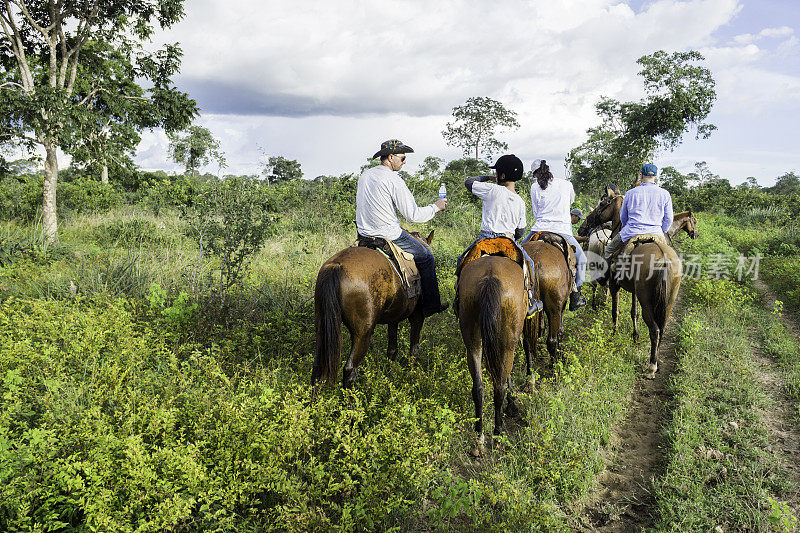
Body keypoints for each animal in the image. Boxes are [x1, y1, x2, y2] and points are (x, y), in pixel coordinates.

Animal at [312, 231, 434, 388]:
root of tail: (336, 266)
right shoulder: (417, 316)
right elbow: (414, 350)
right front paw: (412, 375)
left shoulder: (393, 318)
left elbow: (392, 349)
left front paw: (389, 375)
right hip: (363, 333)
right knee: (350, 369)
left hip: (322, 327)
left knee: (317, 367)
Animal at [460, 252, 528, 454]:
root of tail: (490, 277)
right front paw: (512, 405)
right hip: (508, 340)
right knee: (499, 388)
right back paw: (497, 436)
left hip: (472, 337)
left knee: (478, 388)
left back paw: (478, 440)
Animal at [580, 195, 684, 378]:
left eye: (602, 204)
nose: (584, 226)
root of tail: (664, 259)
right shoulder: (635, 291)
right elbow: (633, 312)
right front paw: (635, 336)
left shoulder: (615, 285)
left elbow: (615, 311)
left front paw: (613, 334)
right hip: (668, 299)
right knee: (662, 327)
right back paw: (657, 361)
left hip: (647, 300)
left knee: (654, 330)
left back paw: (651, 366)